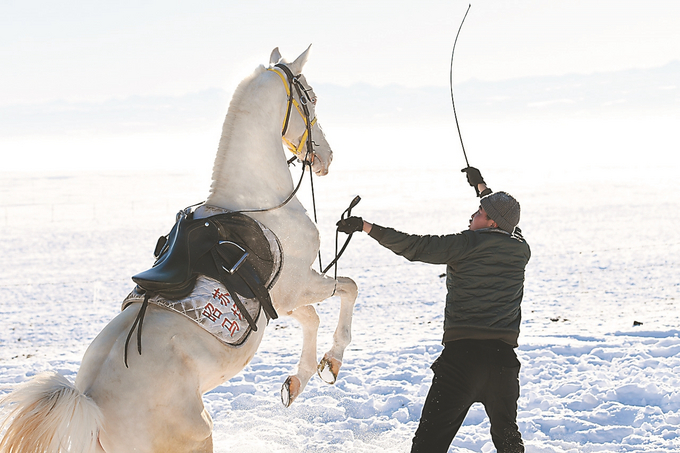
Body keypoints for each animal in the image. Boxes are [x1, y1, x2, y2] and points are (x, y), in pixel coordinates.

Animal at [0, 46, 358, 452]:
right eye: (310, 98)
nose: (327, 157)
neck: (260, 202)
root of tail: (92, 405)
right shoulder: (299, 285)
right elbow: (348, 288)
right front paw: (332, 361)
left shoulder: (278, 301)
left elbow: (313, 317)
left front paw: (296, 384)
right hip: (197, 435)